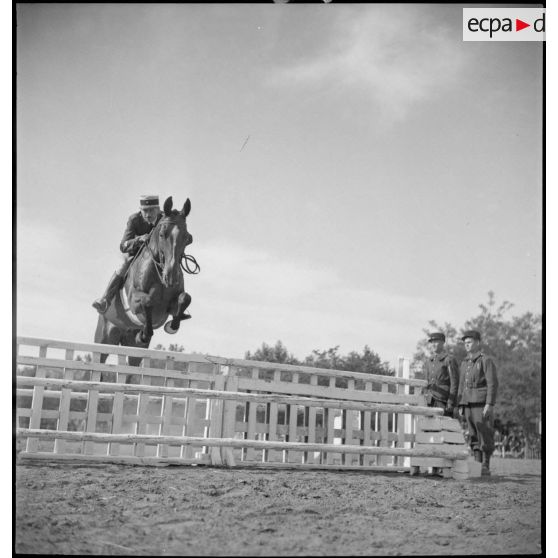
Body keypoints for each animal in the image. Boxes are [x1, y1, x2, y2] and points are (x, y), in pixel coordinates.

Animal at [93, 196, 196, 368]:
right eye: (162, 234)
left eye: (188, 238)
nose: (171, 277)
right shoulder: (134, 301)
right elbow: (147, 300)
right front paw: (144, 333)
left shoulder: (170, 306)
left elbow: (185, 298)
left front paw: (172, 326)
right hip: (104, 340)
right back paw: (102, 304)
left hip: (133, 349)